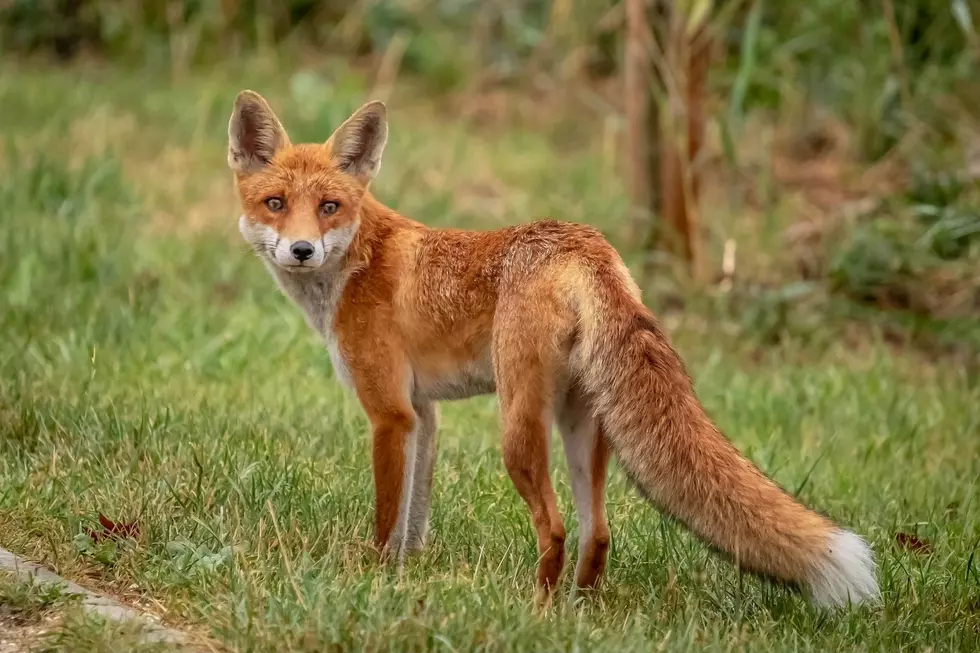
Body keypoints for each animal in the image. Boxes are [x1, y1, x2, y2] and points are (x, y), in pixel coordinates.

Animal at [227, 90, 880, 608]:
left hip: (518, 431)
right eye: (276, 204)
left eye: (329, 207)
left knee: (557, 528)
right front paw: (406, 577)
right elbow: (415, 518)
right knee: (598, 532)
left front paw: (375, 580)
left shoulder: (390, 413)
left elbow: (389, 519)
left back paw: (535, 610)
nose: (303, 250)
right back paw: (579, 611)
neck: (356, 263)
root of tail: (584, 243)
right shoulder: (423, 414)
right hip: (582, 426)